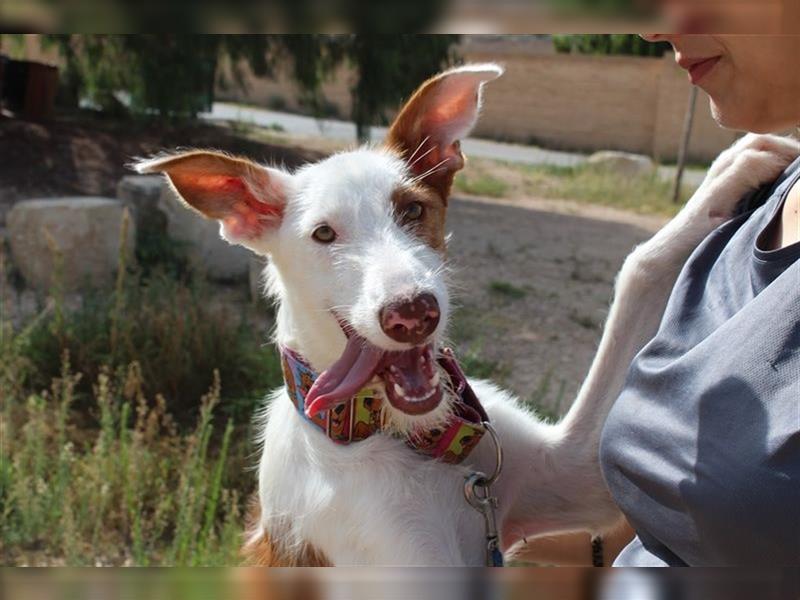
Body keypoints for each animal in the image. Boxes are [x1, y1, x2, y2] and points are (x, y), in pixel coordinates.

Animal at [138, 67, 800, 568]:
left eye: (412, 210)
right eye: (323, 234)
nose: (412, 314)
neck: (402, 444)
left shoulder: (568, 470)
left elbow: (640, 266)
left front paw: (731, 171)